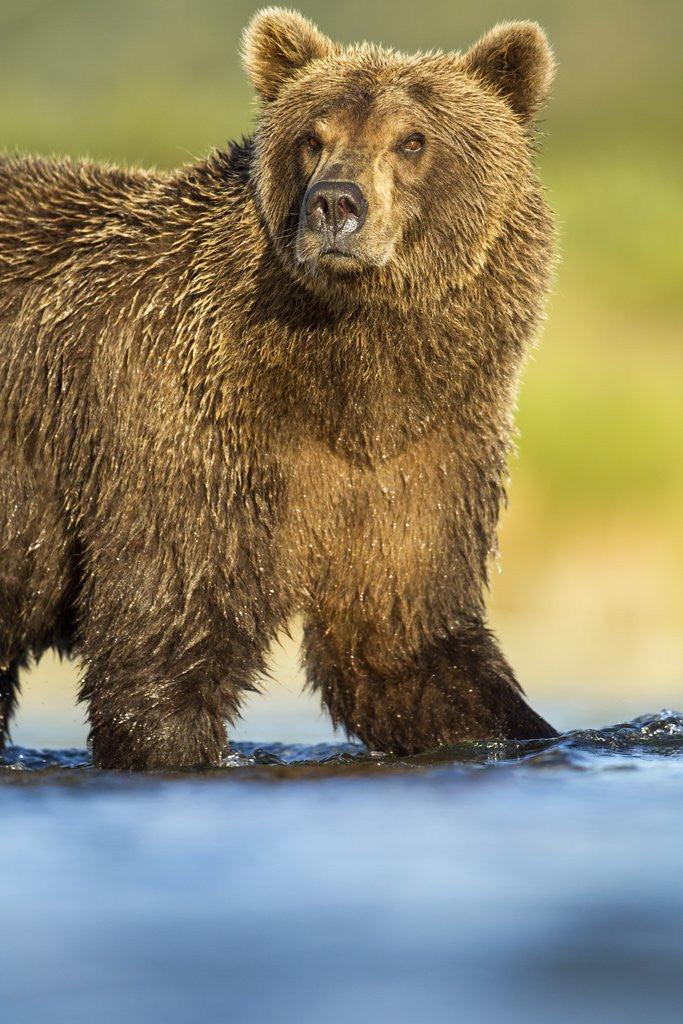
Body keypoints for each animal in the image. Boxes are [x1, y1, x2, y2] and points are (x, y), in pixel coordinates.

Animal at [0, 8, 558, 770]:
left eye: (412, 139)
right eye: (312, 138)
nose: (335, 204)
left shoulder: (422, 452)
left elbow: (407, 644)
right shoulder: (186, 429)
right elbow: (165, 636)